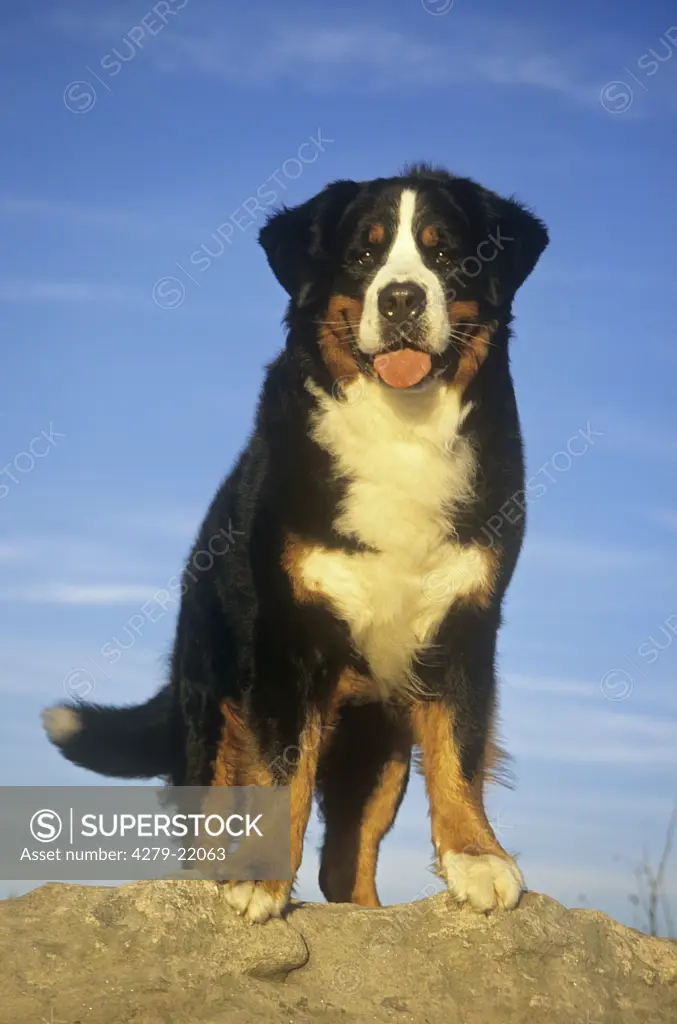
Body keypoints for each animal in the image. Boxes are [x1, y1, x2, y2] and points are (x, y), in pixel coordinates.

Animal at [40, 163, 548, 925]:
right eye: (363, 253)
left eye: (447, 253)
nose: (401, 298)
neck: (401, 430)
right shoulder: (290, 635)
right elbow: (281, 773)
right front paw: (257, 878)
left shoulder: (465, 620)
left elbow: (458, 748)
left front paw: (477, 857)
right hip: (214, 712)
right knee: (213, 815)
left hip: (374, 741)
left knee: (347, 861)